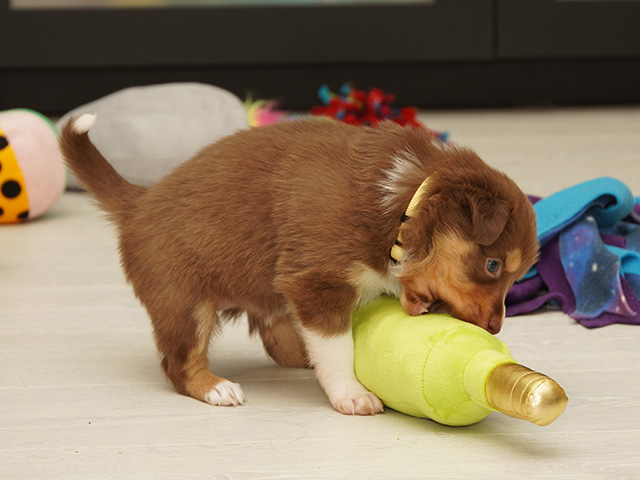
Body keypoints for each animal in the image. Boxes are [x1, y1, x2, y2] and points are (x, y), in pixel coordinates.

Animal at [60, 114, 538, 415]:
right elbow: (337, 347)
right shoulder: (316, 282)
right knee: (179, 363)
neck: (404, 203)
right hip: (184, 301)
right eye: (493, 265)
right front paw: (352, 396)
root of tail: (138, 201)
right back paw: (216, 388)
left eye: (516, 275)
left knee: (276, 341)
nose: (495, 328)